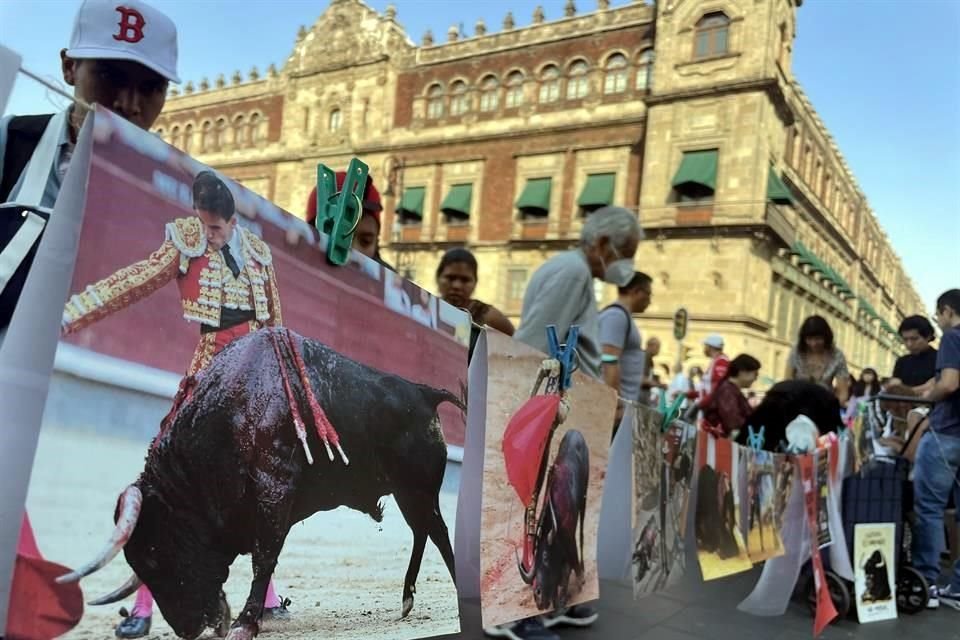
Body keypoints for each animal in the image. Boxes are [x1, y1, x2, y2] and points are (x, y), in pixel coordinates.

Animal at [56, 330, 464, 640]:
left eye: (155, 555)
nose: (188, 629)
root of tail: (424, 392)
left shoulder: (275, 488)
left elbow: (263, 557)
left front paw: (246, 623)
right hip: (406, 493)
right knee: (423, 531)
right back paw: (407, 598)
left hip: (419, 489)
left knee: (438, 531)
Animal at [520, 428, 588, 612]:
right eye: (535, 559)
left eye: (545, 557)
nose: (538, 596)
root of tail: (575, 432)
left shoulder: (569, 538)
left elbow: (568, 569)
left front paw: (578, 584)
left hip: (584, 497)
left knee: (582, 532)